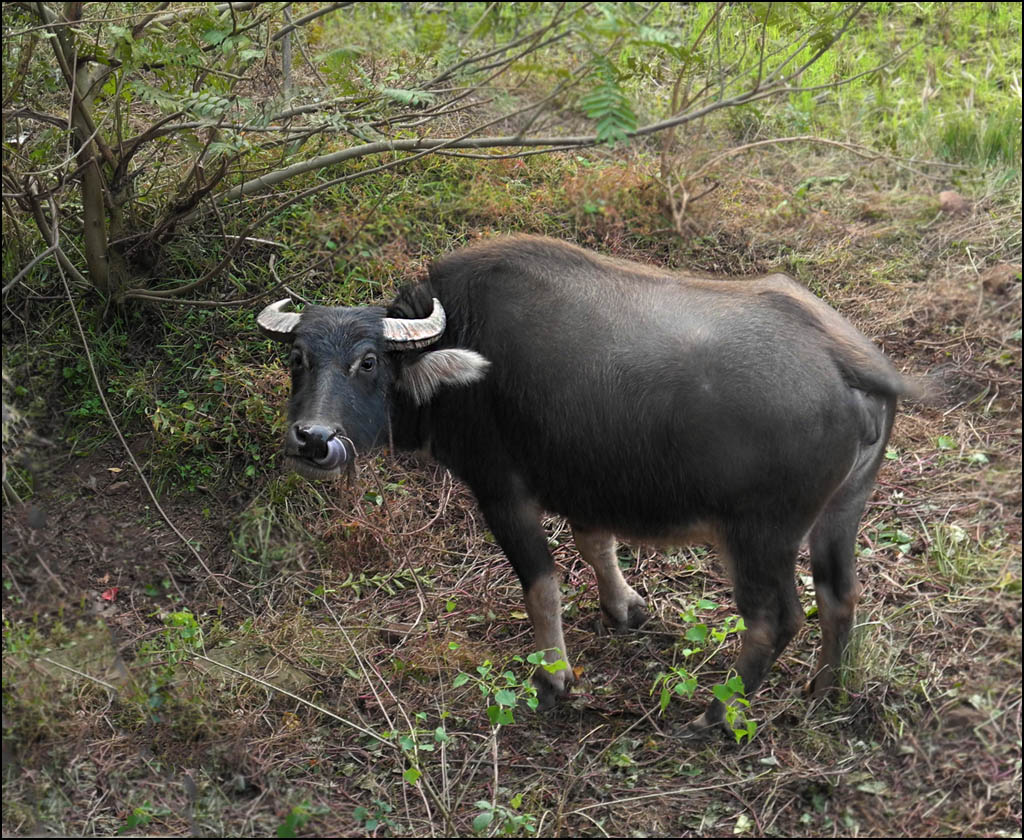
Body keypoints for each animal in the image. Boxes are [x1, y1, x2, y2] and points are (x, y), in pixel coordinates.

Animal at [260, 234, 917, 729]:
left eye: (368, 361)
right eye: (297, 358)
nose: (312, 439)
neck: (464, 345)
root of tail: (846, 358)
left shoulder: (502, 491)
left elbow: (541, 585)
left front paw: (554, 677)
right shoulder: (587, 482)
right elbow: (596, 543)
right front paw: (624, 607)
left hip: (761, 537)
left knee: (776, 619)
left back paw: (715, 713)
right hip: (842, 513)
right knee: (840, 595)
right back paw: (826, 689)